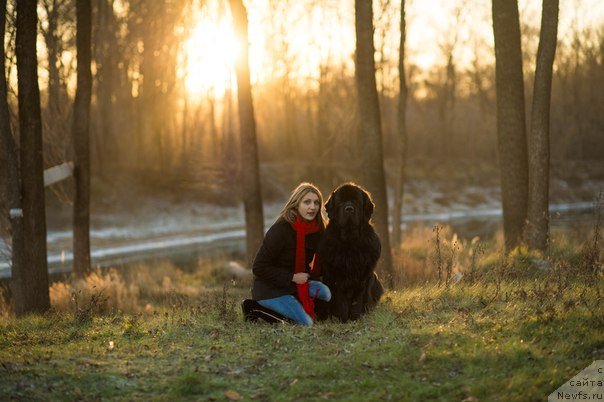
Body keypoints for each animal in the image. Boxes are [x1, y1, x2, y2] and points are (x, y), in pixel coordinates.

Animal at [316, 184, 382, 322]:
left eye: (356, 202)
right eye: (341, 202)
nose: (349, 209)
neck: (350, 240)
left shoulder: (363, 276)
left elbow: (358, 299)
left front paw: (356, 317)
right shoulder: (335, 276)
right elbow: (340, 300)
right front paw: (342, 318)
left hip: (374, 279)